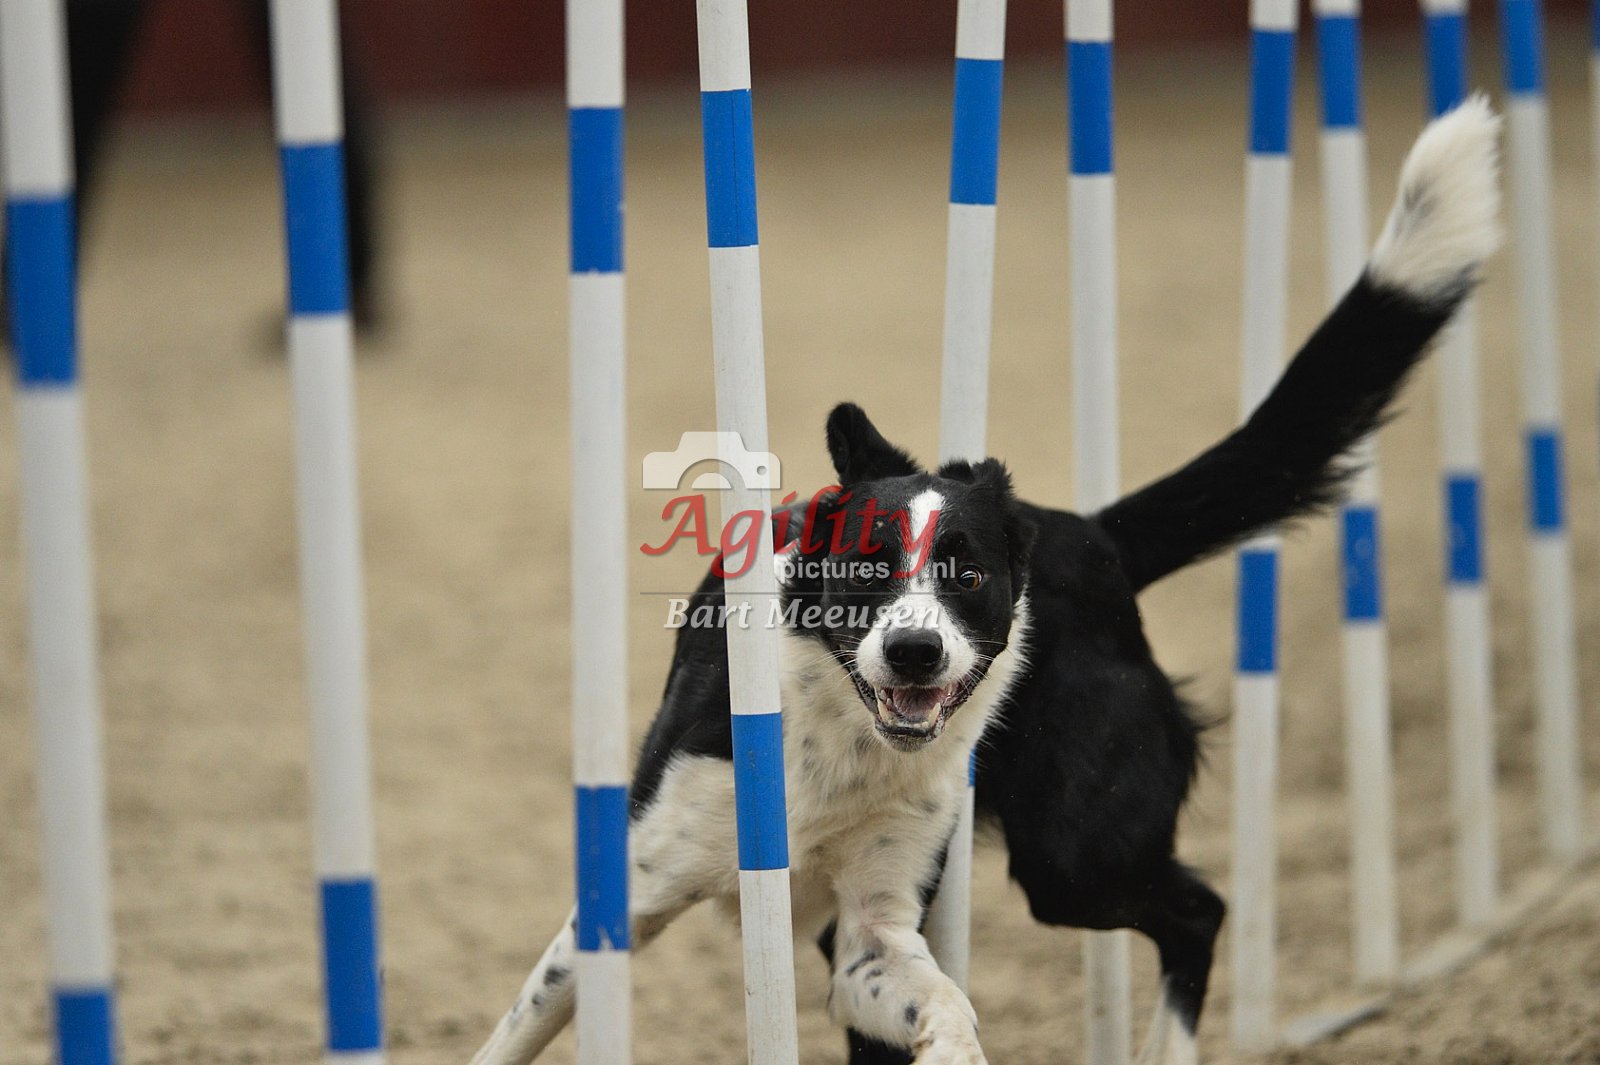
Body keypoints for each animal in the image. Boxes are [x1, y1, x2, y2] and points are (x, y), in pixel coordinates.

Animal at [469, 97, 1500, 1065]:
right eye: (867, 566)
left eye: (967, 575)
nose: (916, 651)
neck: (838, 739)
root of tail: (1091, 534)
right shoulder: (637, 891)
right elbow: (519, 1026)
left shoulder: (876, 923)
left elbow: (947, 997)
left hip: (1074, 849)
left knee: (1197, 909)